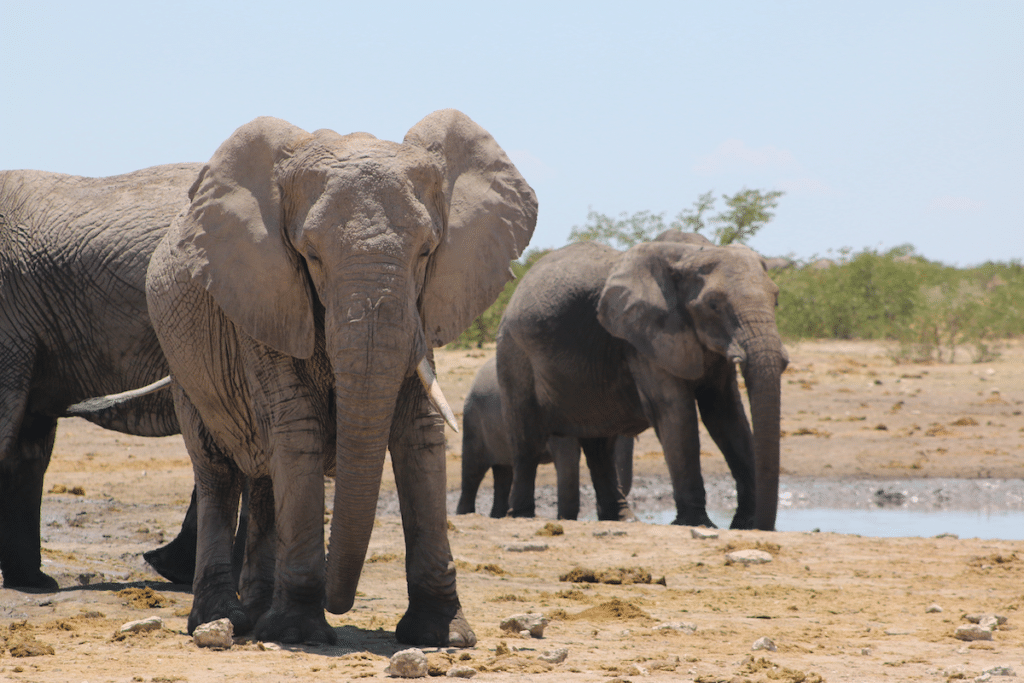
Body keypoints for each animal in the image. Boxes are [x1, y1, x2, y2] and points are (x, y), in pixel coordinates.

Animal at [145, 111, 540, 647]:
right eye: (310, 255)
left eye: (426, 252)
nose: (340, 600)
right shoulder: (264, 297)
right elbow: (299, 429)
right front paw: (298, 633)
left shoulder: (425, 306)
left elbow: (419, 432)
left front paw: (443, 636)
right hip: (184, 366)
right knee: (218, 474)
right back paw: (222, 620)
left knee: (265, 480)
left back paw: (256, 615)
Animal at [456, 356, 630, 520]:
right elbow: (568, 457)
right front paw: (566, 519)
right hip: (473, 422)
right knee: (472, 474)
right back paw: (463, 514)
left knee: (503, 473)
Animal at [493, 235, 782, 528]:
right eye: (713, 305)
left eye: (776, 299)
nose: (762, 525)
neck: (690, 254)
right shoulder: (642, 341)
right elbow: (676, 413)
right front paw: (698, 523)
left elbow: (725, 415)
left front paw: (745, 524)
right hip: (514, 354)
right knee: (526, 440)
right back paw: (522, 515)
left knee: (600, 446)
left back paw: (620, 519)